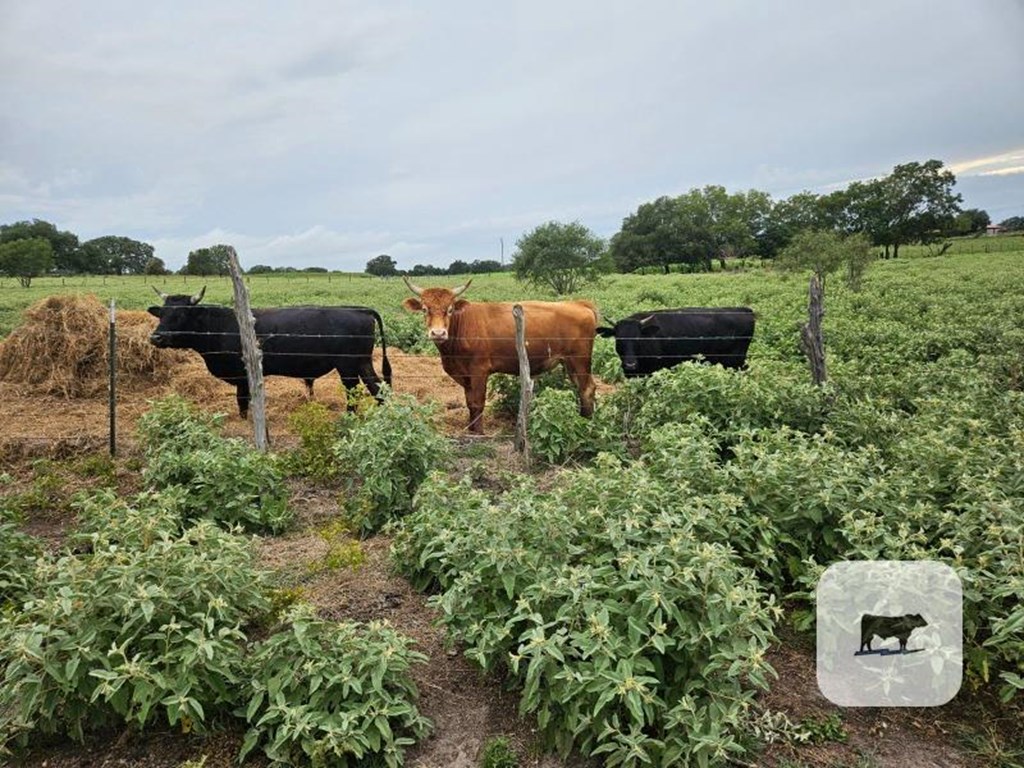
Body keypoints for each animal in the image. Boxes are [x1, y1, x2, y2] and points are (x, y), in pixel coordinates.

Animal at [148, 290, 391, 417]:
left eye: (181, 315)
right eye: (162, 314)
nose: (155, 337)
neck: (220, 326)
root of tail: (359, 309)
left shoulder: (243, 375)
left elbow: (242, 401)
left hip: (348, 365)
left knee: (353, 390)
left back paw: (350, 416)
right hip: (362, 362)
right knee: (378, 387)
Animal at [401, 278, 598, 436]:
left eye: (449, 310)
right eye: (424, 309)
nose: (438, 333)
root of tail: (578, 303)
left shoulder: (479, 370)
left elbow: (477, 402)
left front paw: (478, 432)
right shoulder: (465, 374)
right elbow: (469, 401)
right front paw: (470, 428)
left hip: (579, 360)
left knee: (587, 388)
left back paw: (586, 423)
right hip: (569, 363)